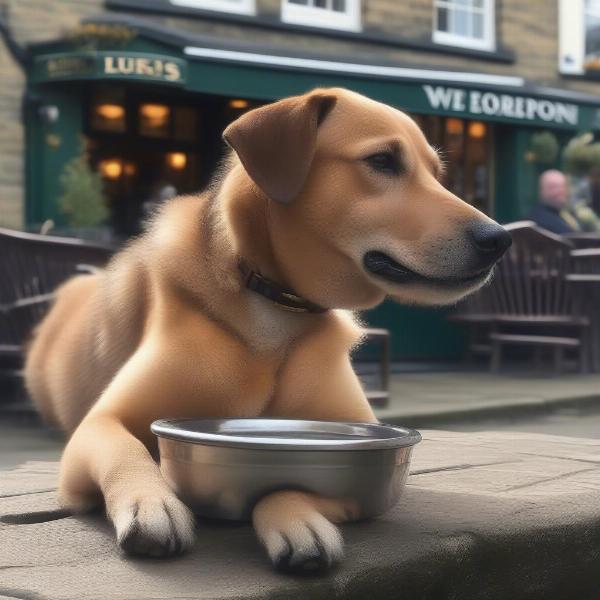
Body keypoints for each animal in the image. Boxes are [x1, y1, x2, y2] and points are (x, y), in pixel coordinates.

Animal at [24, 88, 510, 572]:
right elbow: (128, 451)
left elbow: (293, 480)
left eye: (438, 174)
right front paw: (152, 504)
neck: (277, 307)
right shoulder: (97, 427)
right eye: (383, 160)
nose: (499, 239)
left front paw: (296, 518)